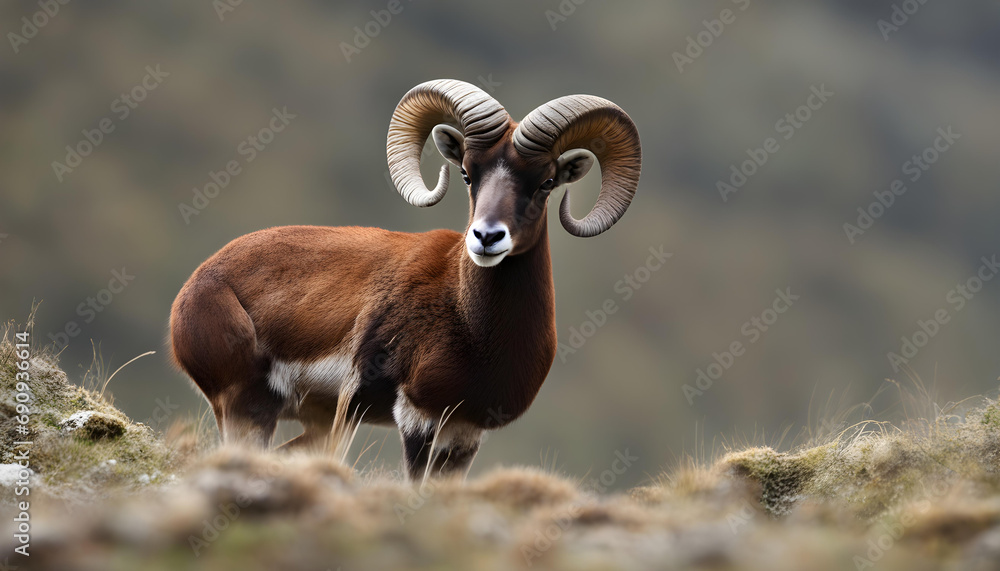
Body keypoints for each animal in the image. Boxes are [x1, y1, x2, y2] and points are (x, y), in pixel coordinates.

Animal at [169, 79, 641, 480]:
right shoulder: (414, 419)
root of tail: (195, 289)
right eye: (468, 173)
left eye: (546, 181)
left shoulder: (464, 435)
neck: (470, 326)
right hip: (249, 409)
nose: (487, 237)